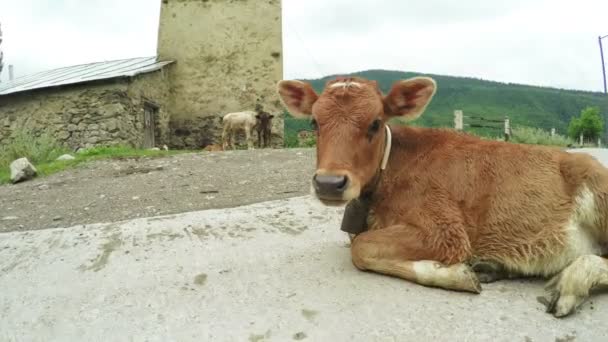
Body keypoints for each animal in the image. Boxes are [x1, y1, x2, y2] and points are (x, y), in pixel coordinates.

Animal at [276, 76, 608, 316]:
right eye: (314, 122)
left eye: (375, 122)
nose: (329, 183)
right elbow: (361, 244)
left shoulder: (446, 230)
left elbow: (361, 248)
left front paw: (454, 274)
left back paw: (571, 284)